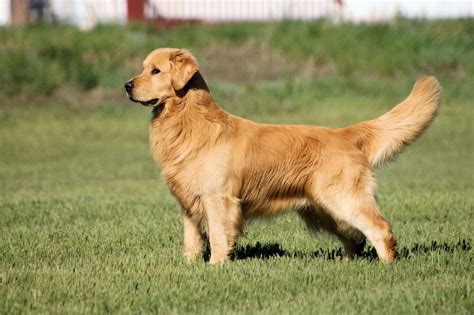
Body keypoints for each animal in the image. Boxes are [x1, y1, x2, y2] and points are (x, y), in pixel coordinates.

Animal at [124, 48, 442, 266]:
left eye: (155, 71)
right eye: (143, 68)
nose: (127, 86)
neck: (189, 121)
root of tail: (344, 133)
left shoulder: (218, 199)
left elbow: (217, 235)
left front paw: (215, 266)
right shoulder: (188, 202)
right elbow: (192, 239)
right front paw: (190, 266)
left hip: (343, 198)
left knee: (379, 228)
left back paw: (387, 264)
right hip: (324, 208)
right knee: (355, 237)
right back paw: (347, 264)